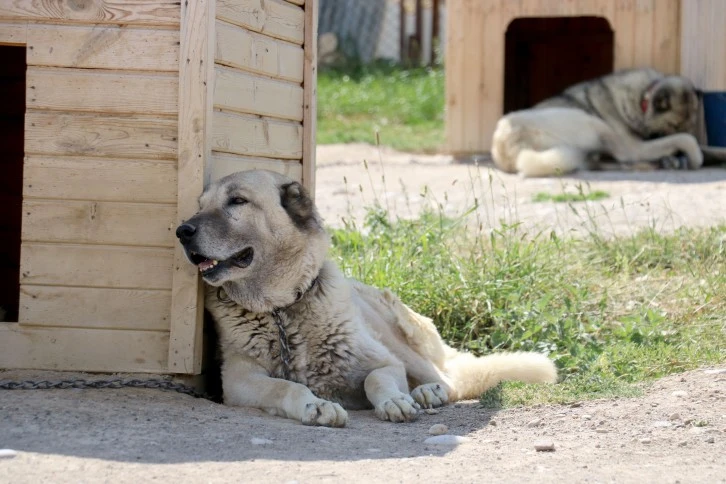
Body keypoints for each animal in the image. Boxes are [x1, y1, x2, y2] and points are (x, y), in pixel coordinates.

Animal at [178, 171, 556, 428]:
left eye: (238, 201)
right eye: (201, 206)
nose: (182, 231)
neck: (282, 311)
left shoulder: (386, 363)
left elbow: (377, 379)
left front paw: (394, 402)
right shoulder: (239, 382)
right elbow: (285, 388)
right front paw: (315, 406)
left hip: (401, 339)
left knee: (451, 380)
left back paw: (426, 392)